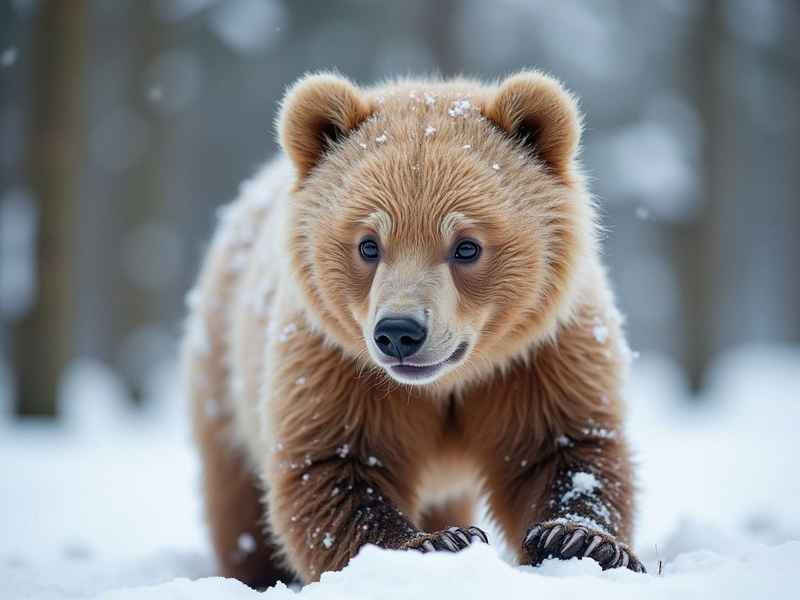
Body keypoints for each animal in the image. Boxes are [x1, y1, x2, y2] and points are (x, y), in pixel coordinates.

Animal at [183, 70, 644, 587]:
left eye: (466, 245)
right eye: (368, 244)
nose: (399, 332)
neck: (449, 384)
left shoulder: (537, 359)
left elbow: (566, 448)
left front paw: (580, 539)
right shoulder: (335, 365)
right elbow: (332, 468)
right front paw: (435, 544)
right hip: (225, 374)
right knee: (238, 502)